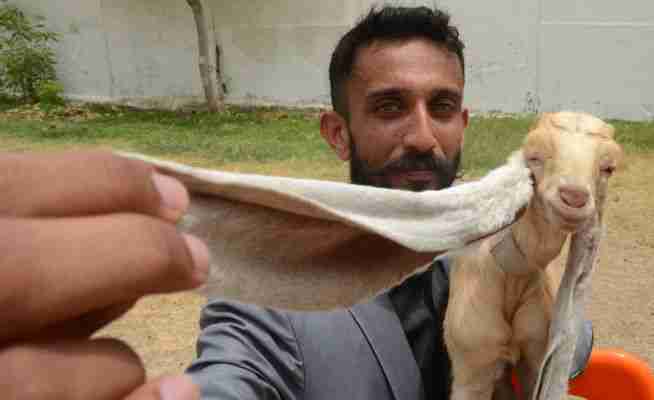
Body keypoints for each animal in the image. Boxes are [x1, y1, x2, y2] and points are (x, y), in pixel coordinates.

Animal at [443, 112, 623, 400]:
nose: (573, 198)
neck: (512, 276)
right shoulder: (471, 364)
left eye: (608, 168)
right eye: (535, 157)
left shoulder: (536, 351)